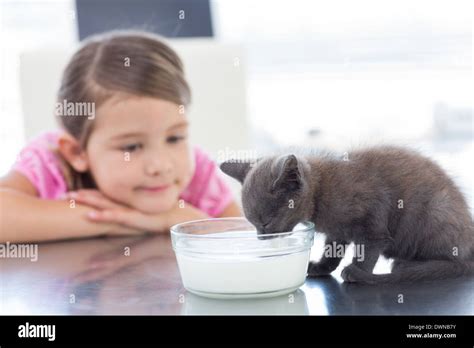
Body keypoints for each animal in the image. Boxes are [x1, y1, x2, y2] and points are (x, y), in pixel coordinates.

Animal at [221, 145, 474, 284]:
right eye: (253, 224)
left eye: (265, 223)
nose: (260, 238)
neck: (321, 193)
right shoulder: (337, 232)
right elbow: (333, 250)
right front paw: (322, 267)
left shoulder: (374, 216)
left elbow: (369, 248)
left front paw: (357, 271)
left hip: (438, 209)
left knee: (449, 259)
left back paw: (407, 265)